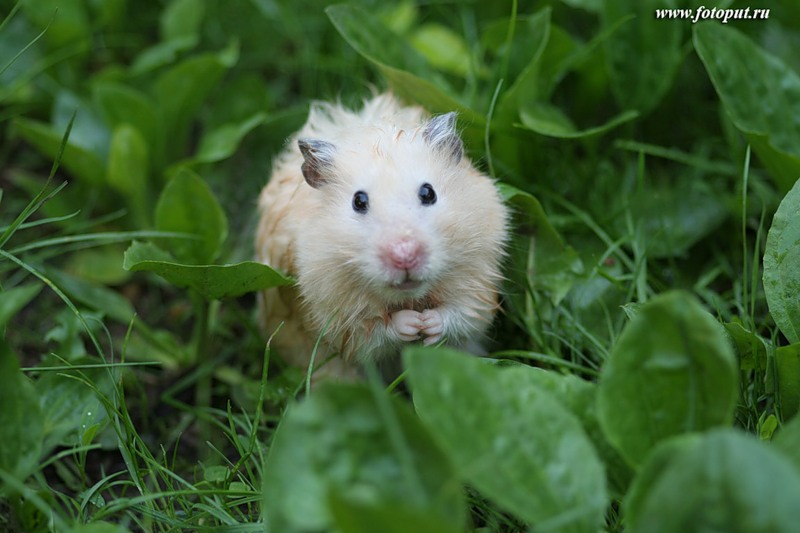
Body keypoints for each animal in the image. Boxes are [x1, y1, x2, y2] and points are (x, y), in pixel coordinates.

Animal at [253, 92, 510, 378]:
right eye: (358, 201)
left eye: (428, 193)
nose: (405, 257)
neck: (409, 298)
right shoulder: (331, 313)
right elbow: (372, 333)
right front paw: (413, 324)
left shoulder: (478, 282)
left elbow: (463, 316)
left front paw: (428, 323)